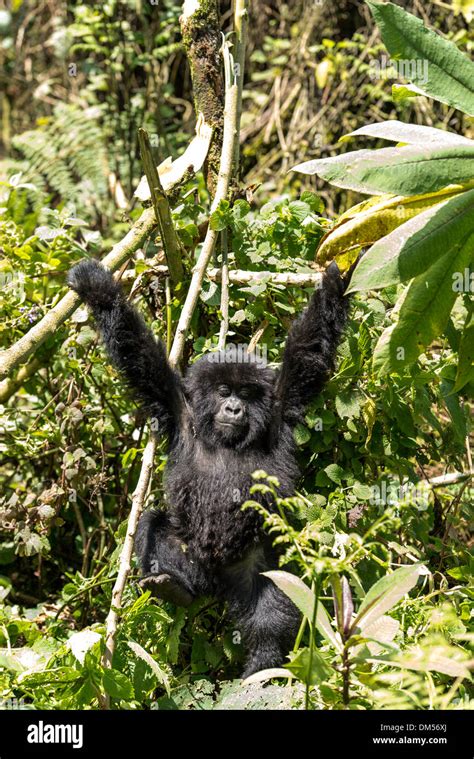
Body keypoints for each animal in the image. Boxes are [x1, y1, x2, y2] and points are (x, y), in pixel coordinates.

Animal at [68, 262, 350, 676]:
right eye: (222, 391)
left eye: (245, 393)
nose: (233, 408)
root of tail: (215, 582)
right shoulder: (177, 408)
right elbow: (138, 353)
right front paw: (97, 289)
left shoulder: (282, 407)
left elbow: (309, 349)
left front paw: (336, 279)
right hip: (190, 555)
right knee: (156, 525)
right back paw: (172, 586)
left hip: (256, 560)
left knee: (268, 602)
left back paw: (262, 664)